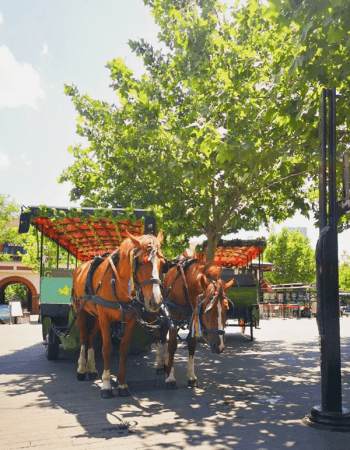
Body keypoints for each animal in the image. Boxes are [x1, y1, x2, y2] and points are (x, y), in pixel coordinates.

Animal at [72, 232, 165, 398]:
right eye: (140, 263)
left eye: (162, 263)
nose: (155, 301)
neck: (116, 282)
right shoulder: (104, 318)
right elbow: (106, 349)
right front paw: (106, 384)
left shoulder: (130, 319)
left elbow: (123, 349)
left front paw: (121, 384)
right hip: (81, 311)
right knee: (83, 338)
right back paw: (82, 369)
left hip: (96, 316)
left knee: (91, 338)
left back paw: (92, 369)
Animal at [154, 260, 234, 390]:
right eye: (207, 309)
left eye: (227, 309)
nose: (220, 346)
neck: (184, 285)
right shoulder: (173, 319)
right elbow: (172, 346)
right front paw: (170, 378)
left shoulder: (193, 318)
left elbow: (191, 345)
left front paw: (191, 377)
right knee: (157, 337)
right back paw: (160, 364)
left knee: (163, 337)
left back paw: (166, 362)